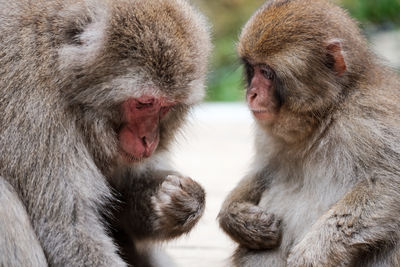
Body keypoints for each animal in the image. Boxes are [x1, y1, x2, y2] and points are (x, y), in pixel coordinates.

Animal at [0, 0, 211, 266]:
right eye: (144, 103)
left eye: (165, 107)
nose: (149, 140)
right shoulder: (33, 111)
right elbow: (68, 230)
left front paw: (177, 203)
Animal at [219, 0, 400, 266]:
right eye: (252, 69)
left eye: (267, 73)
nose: (251, 94)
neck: (326, 114)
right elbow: (264, 172)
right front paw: (237, 217)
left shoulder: (367, 119)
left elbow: (388, 182)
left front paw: (310, 256)